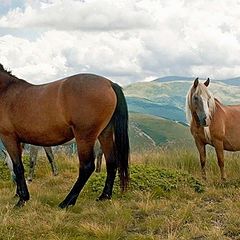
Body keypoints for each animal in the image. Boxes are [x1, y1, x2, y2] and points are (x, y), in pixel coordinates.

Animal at [0, 63, 129, 208]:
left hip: (85, 137)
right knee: (111, 162)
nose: (12, 182)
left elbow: (19, 166)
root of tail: (109, 83)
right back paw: (104, 196)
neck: (6, 91)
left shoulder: (9, 138)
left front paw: (22, 199)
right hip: (104, 134)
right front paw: (19, 194)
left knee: (87, 167)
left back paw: (67, 202)